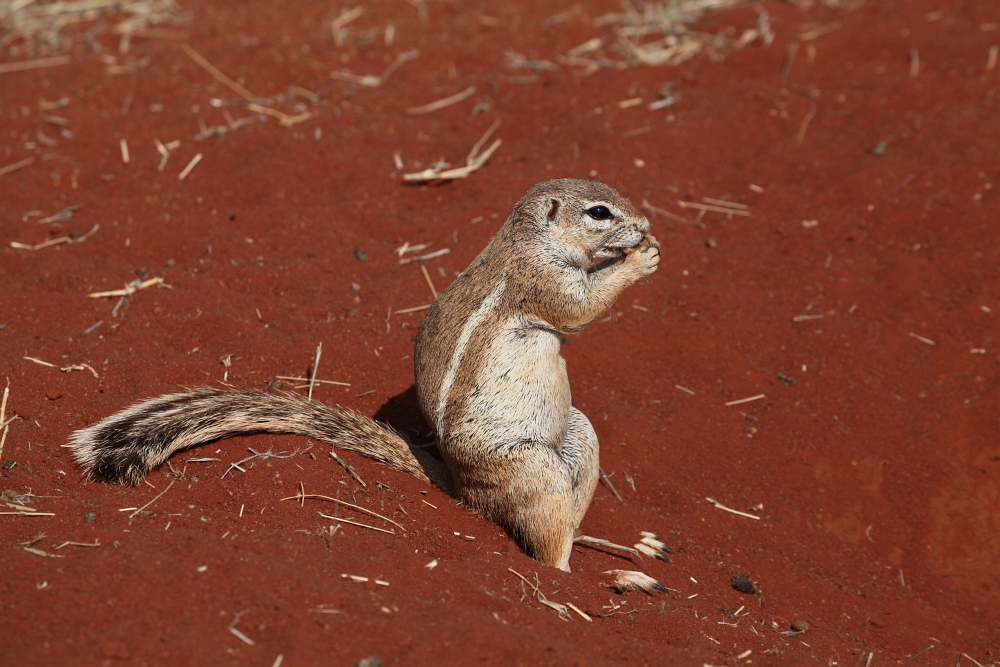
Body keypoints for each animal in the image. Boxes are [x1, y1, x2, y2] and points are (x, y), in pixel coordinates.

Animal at [70, 179, 664, 576]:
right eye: (599, 212)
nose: (645, 225)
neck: (528, 240)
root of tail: (462, 491)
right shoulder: (542, 281)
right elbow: (579, 308)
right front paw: (642, 259)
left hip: (577, 436)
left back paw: (623, 550)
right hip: (531, 468)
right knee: (547, 545)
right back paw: (592, 573)